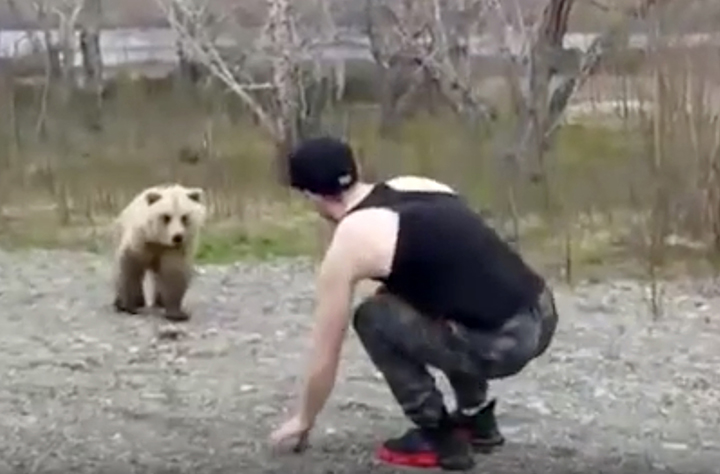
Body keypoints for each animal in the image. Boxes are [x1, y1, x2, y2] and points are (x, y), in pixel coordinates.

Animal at [111, 183, 208, 320]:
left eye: (184, 217)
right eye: (166, 217)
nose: (177, 237)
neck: (159, 241)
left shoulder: (173, 250)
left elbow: (173, 274)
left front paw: (177, 313)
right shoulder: (141, 242)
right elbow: (130, 268)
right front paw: (130, 306)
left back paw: (160, 302)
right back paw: (121, 302)